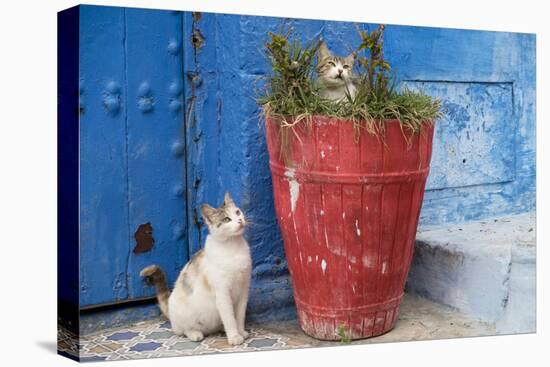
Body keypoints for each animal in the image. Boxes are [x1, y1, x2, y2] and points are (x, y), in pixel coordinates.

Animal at [142, 194, 254, 346]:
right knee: (183, 330)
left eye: (237, 212)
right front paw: (234, 337)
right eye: (226, 219)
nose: (240, 220)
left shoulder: (243, 290)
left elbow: (239, 316)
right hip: (184, 314)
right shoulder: (223, 294)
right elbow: (230, 318)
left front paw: (241, 332)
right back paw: (195, 334)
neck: (233, 246)